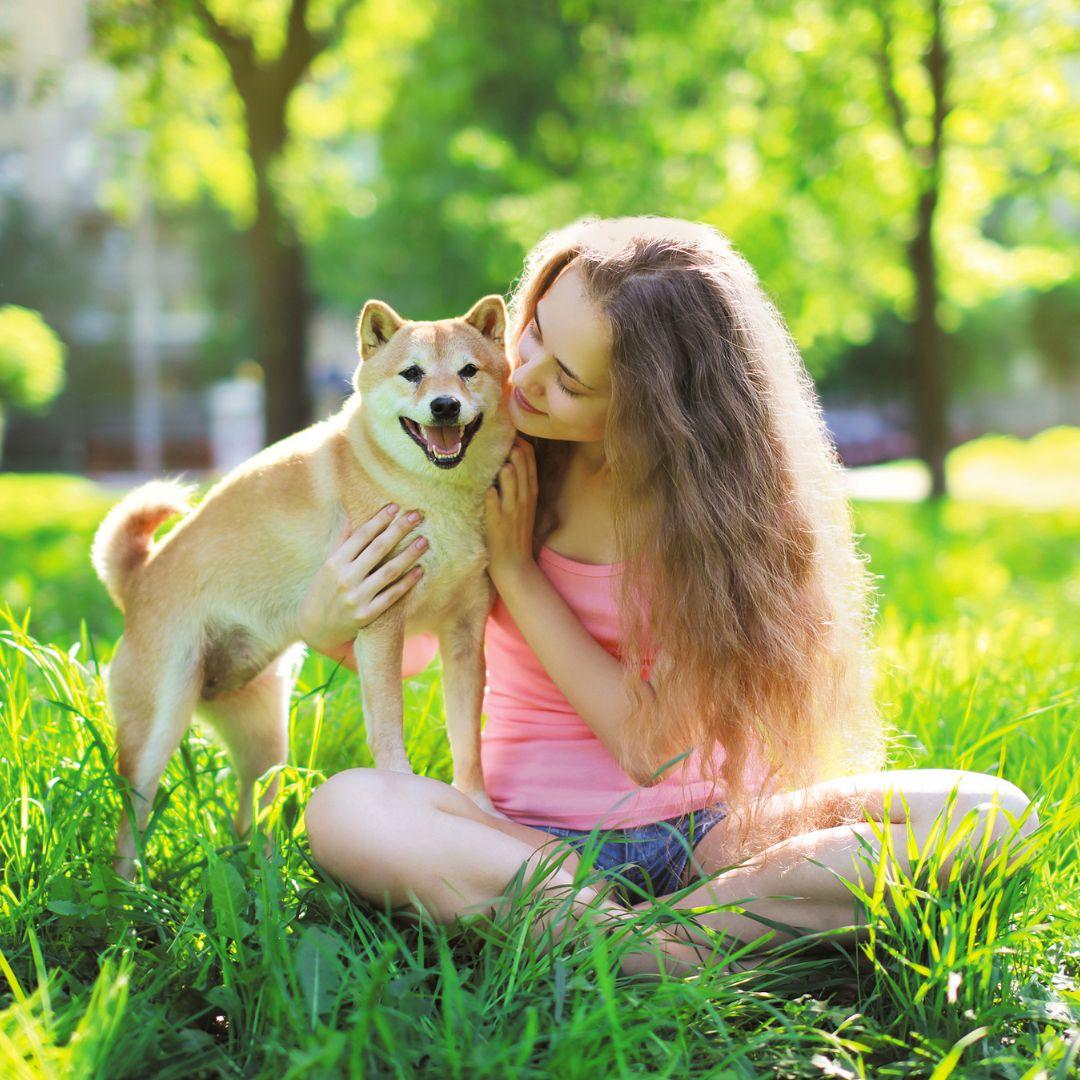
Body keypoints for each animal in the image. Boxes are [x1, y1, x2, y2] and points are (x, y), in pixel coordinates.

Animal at [91, 295, 514, 876]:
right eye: (412, 374)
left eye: (469, 371)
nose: (446, 406)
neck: (434, 495)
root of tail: (139, 579)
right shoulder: (381, 625)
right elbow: (388, 728)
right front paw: (401, 793)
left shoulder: (465, 635)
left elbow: (468, 740)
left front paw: (477, 805)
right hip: (157, 730)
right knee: (130, 824)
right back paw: (127, 891)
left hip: (266, 739)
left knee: (250, 815)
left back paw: (265, 875)